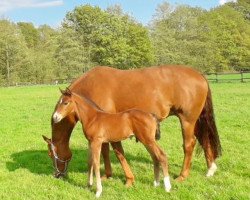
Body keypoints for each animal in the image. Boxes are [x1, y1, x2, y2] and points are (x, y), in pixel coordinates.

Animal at [46, 65, 221, 186]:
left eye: (51, 154)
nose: (57, 175)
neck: (90, 87)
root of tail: (200, 75)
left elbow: (116, 152)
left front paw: (127, 178)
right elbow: (106, 151)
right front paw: (108, 175)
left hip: (187, 121)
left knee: (189, 144)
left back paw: (182, 175)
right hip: (196, 121)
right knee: (204, 139)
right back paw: (210, 169)